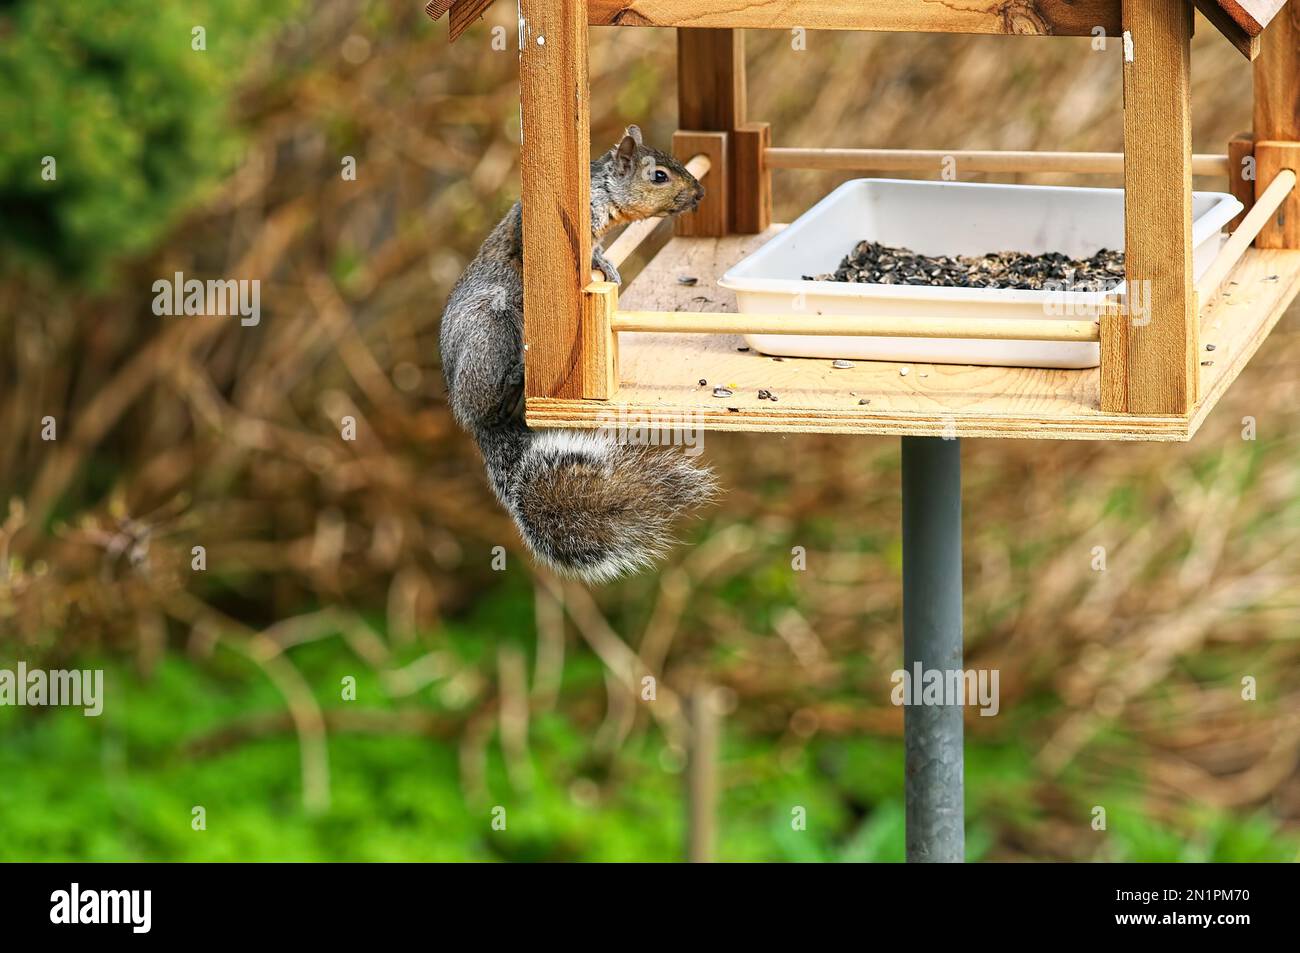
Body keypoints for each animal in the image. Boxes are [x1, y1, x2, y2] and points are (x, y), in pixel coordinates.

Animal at [441, 125, 717, 579]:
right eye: (659, 175)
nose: (700, 194)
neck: (603, 192)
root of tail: (479, 425)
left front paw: (608, 264)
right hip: (488, 330)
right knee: (489, 395)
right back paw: (513, 377)